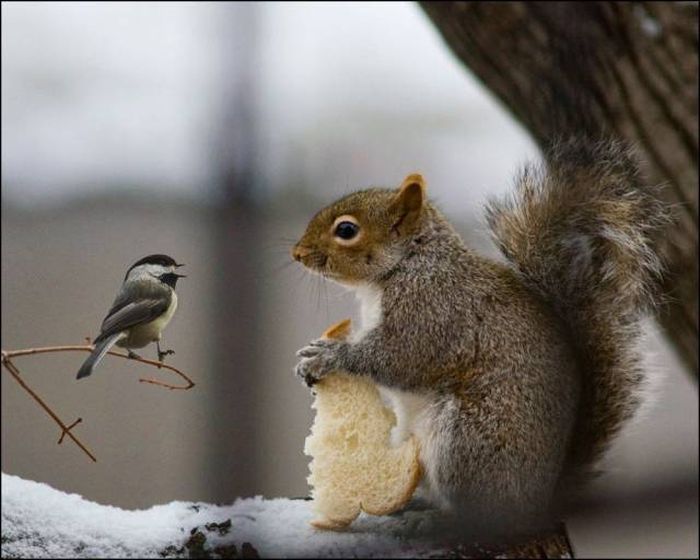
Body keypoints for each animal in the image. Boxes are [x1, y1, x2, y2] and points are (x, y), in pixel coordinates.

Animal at [290, 137, 668, 540]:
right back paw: (413, 503)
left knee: (477, 515)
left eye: (346, 230)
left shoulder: (432, 311)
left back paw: (435, 521)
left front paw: (327, 356)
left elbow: (399, 358)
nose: (296, 254)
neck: (409, 263)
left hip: (466, 441)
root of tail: (538, 507)